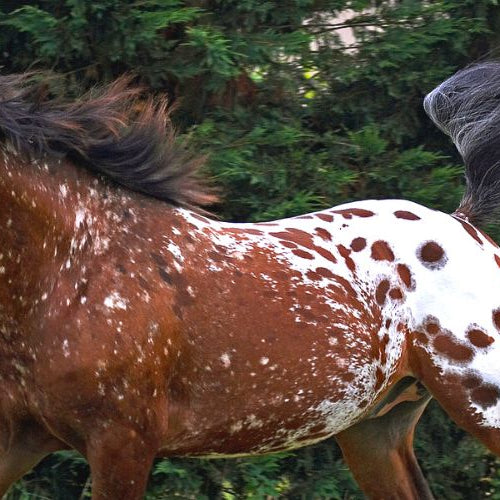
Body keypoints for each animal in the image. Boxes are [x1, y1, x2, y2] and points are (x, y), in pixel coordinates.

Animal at [0, 63, 500, 500]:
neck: (76, 264)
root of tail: (465, 225)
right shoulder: (21, 437)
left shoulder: (122, 443)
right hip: (375, 430)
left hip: (482, 404)